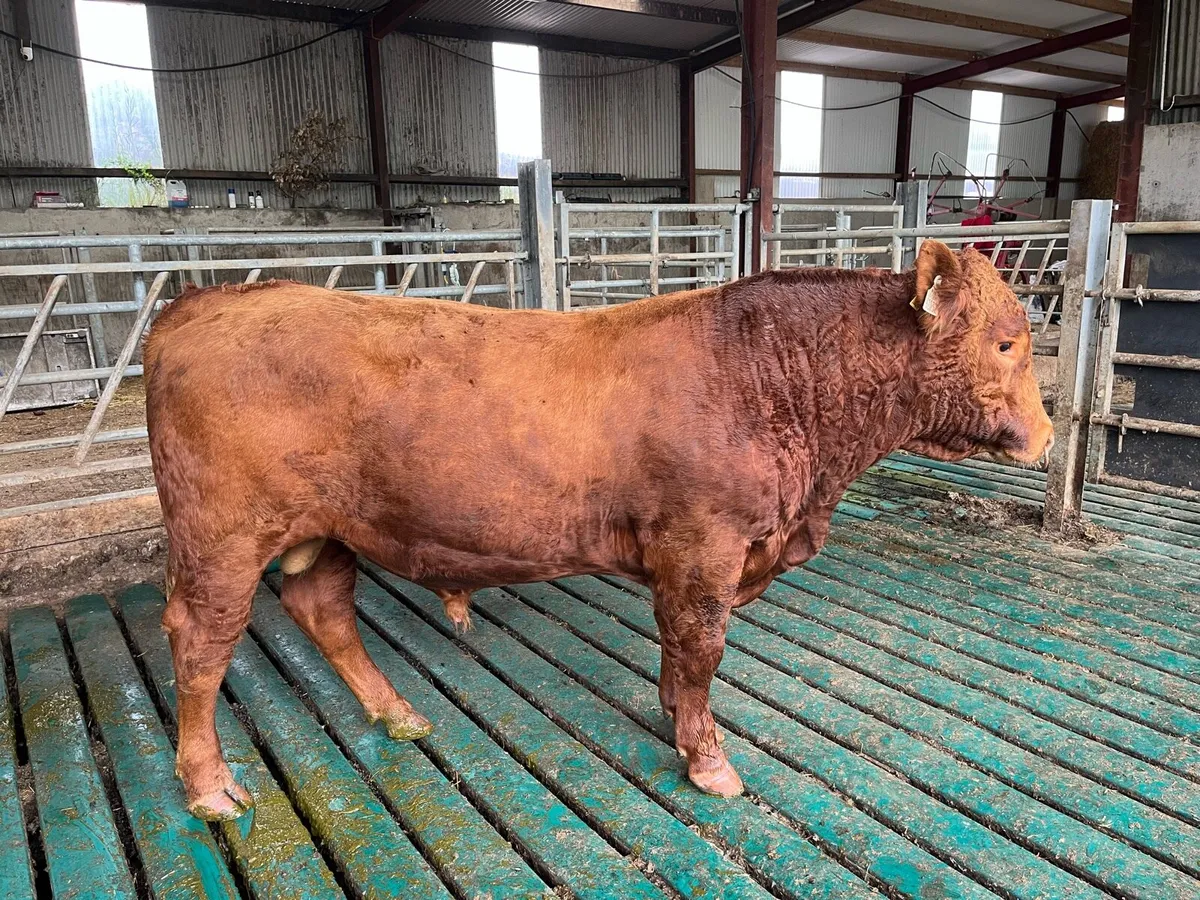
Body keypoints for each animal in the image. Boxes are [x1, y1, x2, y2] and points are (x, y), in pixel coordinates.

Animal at [143, 240, 1053, 820]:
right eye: (1008, 341)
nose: (1047, 437)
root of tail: (206, 303)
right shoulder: (705, 545)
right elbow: (702, 645)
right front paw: (708, 760)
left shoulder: (690, 557)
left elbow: (678, 647)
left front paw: (674, 715)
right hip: (222, 540)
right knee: (202, 644)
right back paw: (209, 787)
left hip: (326, 529)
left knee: (322, 609)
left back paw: (397, 715)